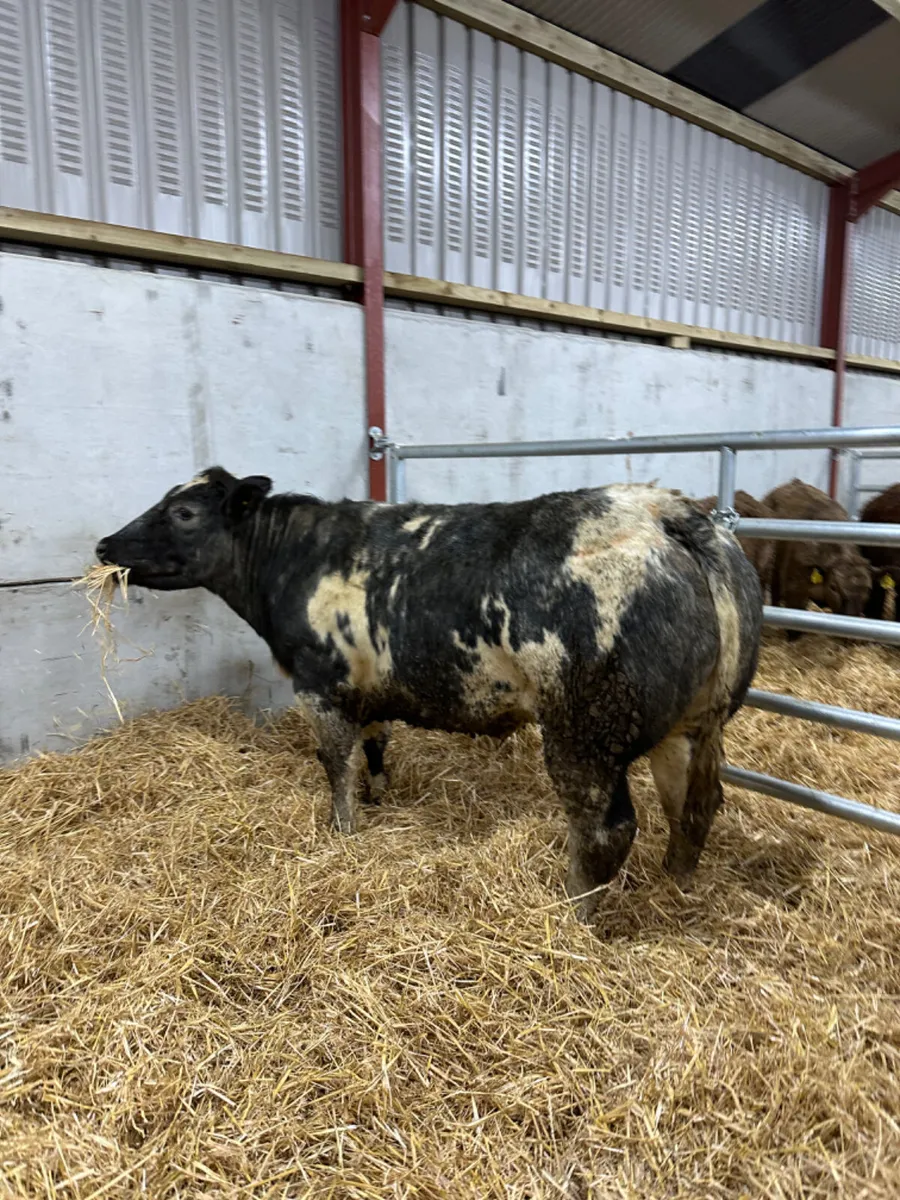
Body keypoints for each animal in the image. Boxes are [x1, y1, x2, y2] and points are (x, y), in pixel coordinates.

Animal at [96, 469, 763, 921]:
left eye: (184, 512)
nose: (105, 545)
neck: (294, 559)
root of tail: (666, 511)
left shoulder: (321, 684)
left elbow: (335, 765)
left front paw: (344, 832)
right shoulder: (368, 689)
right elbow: (374, 748)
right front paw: (381, 797)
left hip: (586, 731)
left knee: (607, 828)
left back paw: (570, 914)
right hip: (693, 725)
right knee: (694, 807)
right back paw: (675, 887)